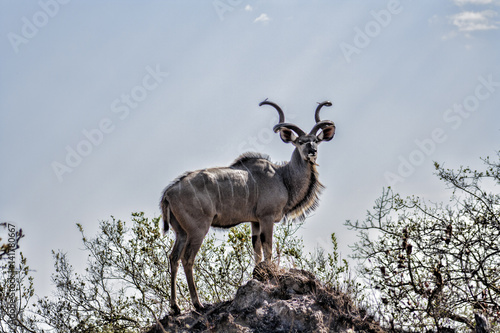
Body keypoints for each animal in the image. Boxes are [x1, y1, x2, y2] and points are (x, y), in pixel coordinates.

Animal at [160, 100, 336, 312]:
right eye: (300, 142)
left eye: (316, 141)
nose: (312, 152)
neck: (282, 177)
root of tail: (169, 193)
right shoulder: (267, 217)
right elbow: (268, 248)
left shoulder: (255, 221)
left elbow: (257, 250)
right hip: (197, 230)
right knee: (187, 259)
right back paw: (198, 304)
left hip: (181, 232)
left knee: (173, 258)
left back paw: (176, 307)